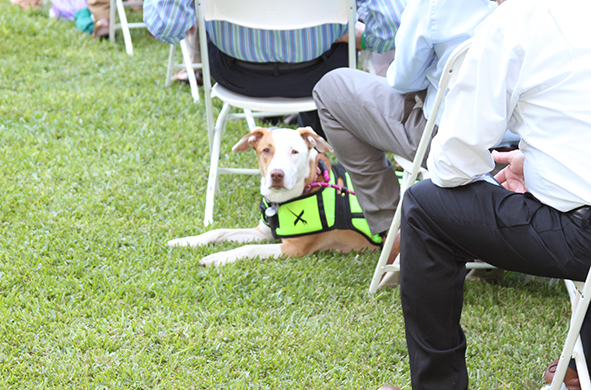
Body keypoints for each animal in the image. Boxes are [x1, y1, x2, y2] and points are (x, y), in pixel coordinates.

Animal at [166, 126, 382, 266]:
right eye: (266, 150)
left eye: (294, 151)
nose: (277, 175)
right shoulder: (264, 232)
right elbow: (218, 231)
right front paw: (186, 241)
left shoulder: (293, 248)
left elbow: (248, 248)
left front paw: (218, 258)